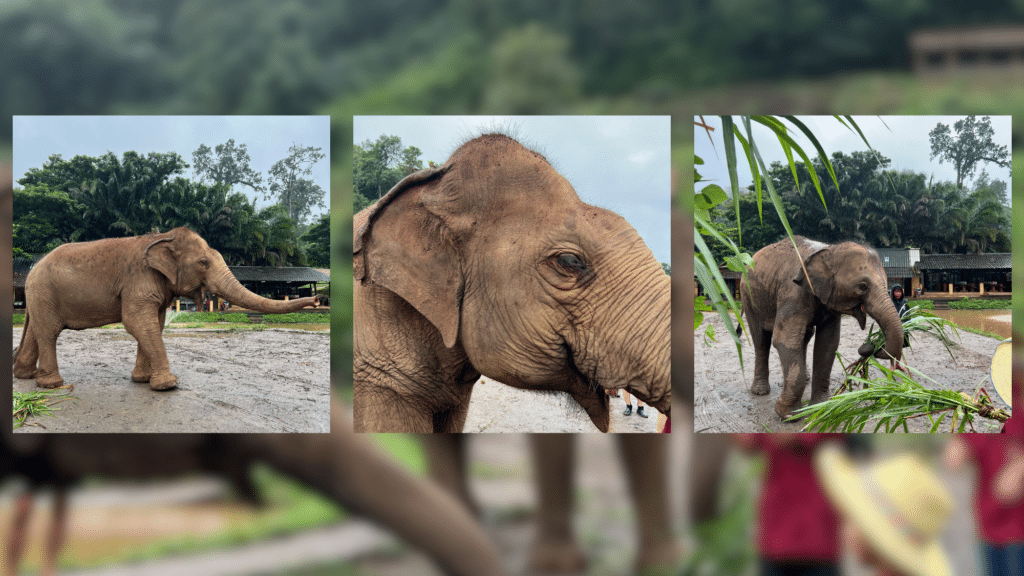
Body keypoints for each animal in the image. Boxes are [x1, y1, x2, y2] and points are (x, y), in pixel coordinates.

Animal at [12, 225, 315, 389]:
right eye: (203, 263)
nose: (314, 300)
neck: (163, 237)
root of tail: (31, 272)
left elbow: (154, 324)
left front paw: (143, 380)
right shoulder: (139, 279)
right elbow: (137, 322)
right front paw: (168, 385)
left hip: (41, 297)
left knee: (37, 332)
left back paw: (27, 376)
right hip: (44, 293)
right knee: (49, 333)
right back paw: (52, 385)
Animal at [737, 236, 905, 416]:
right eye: (863, 286)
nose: (873, 347)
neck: (829, 249)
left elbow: (827, 344)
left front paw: (820, 406)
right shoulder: (792, 292)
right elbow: (784, 340)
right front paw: (788, 414)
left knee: (804, 337)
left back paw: (805, 378)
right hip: (749, 297)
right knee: (761, 340)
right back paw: (760, 391)